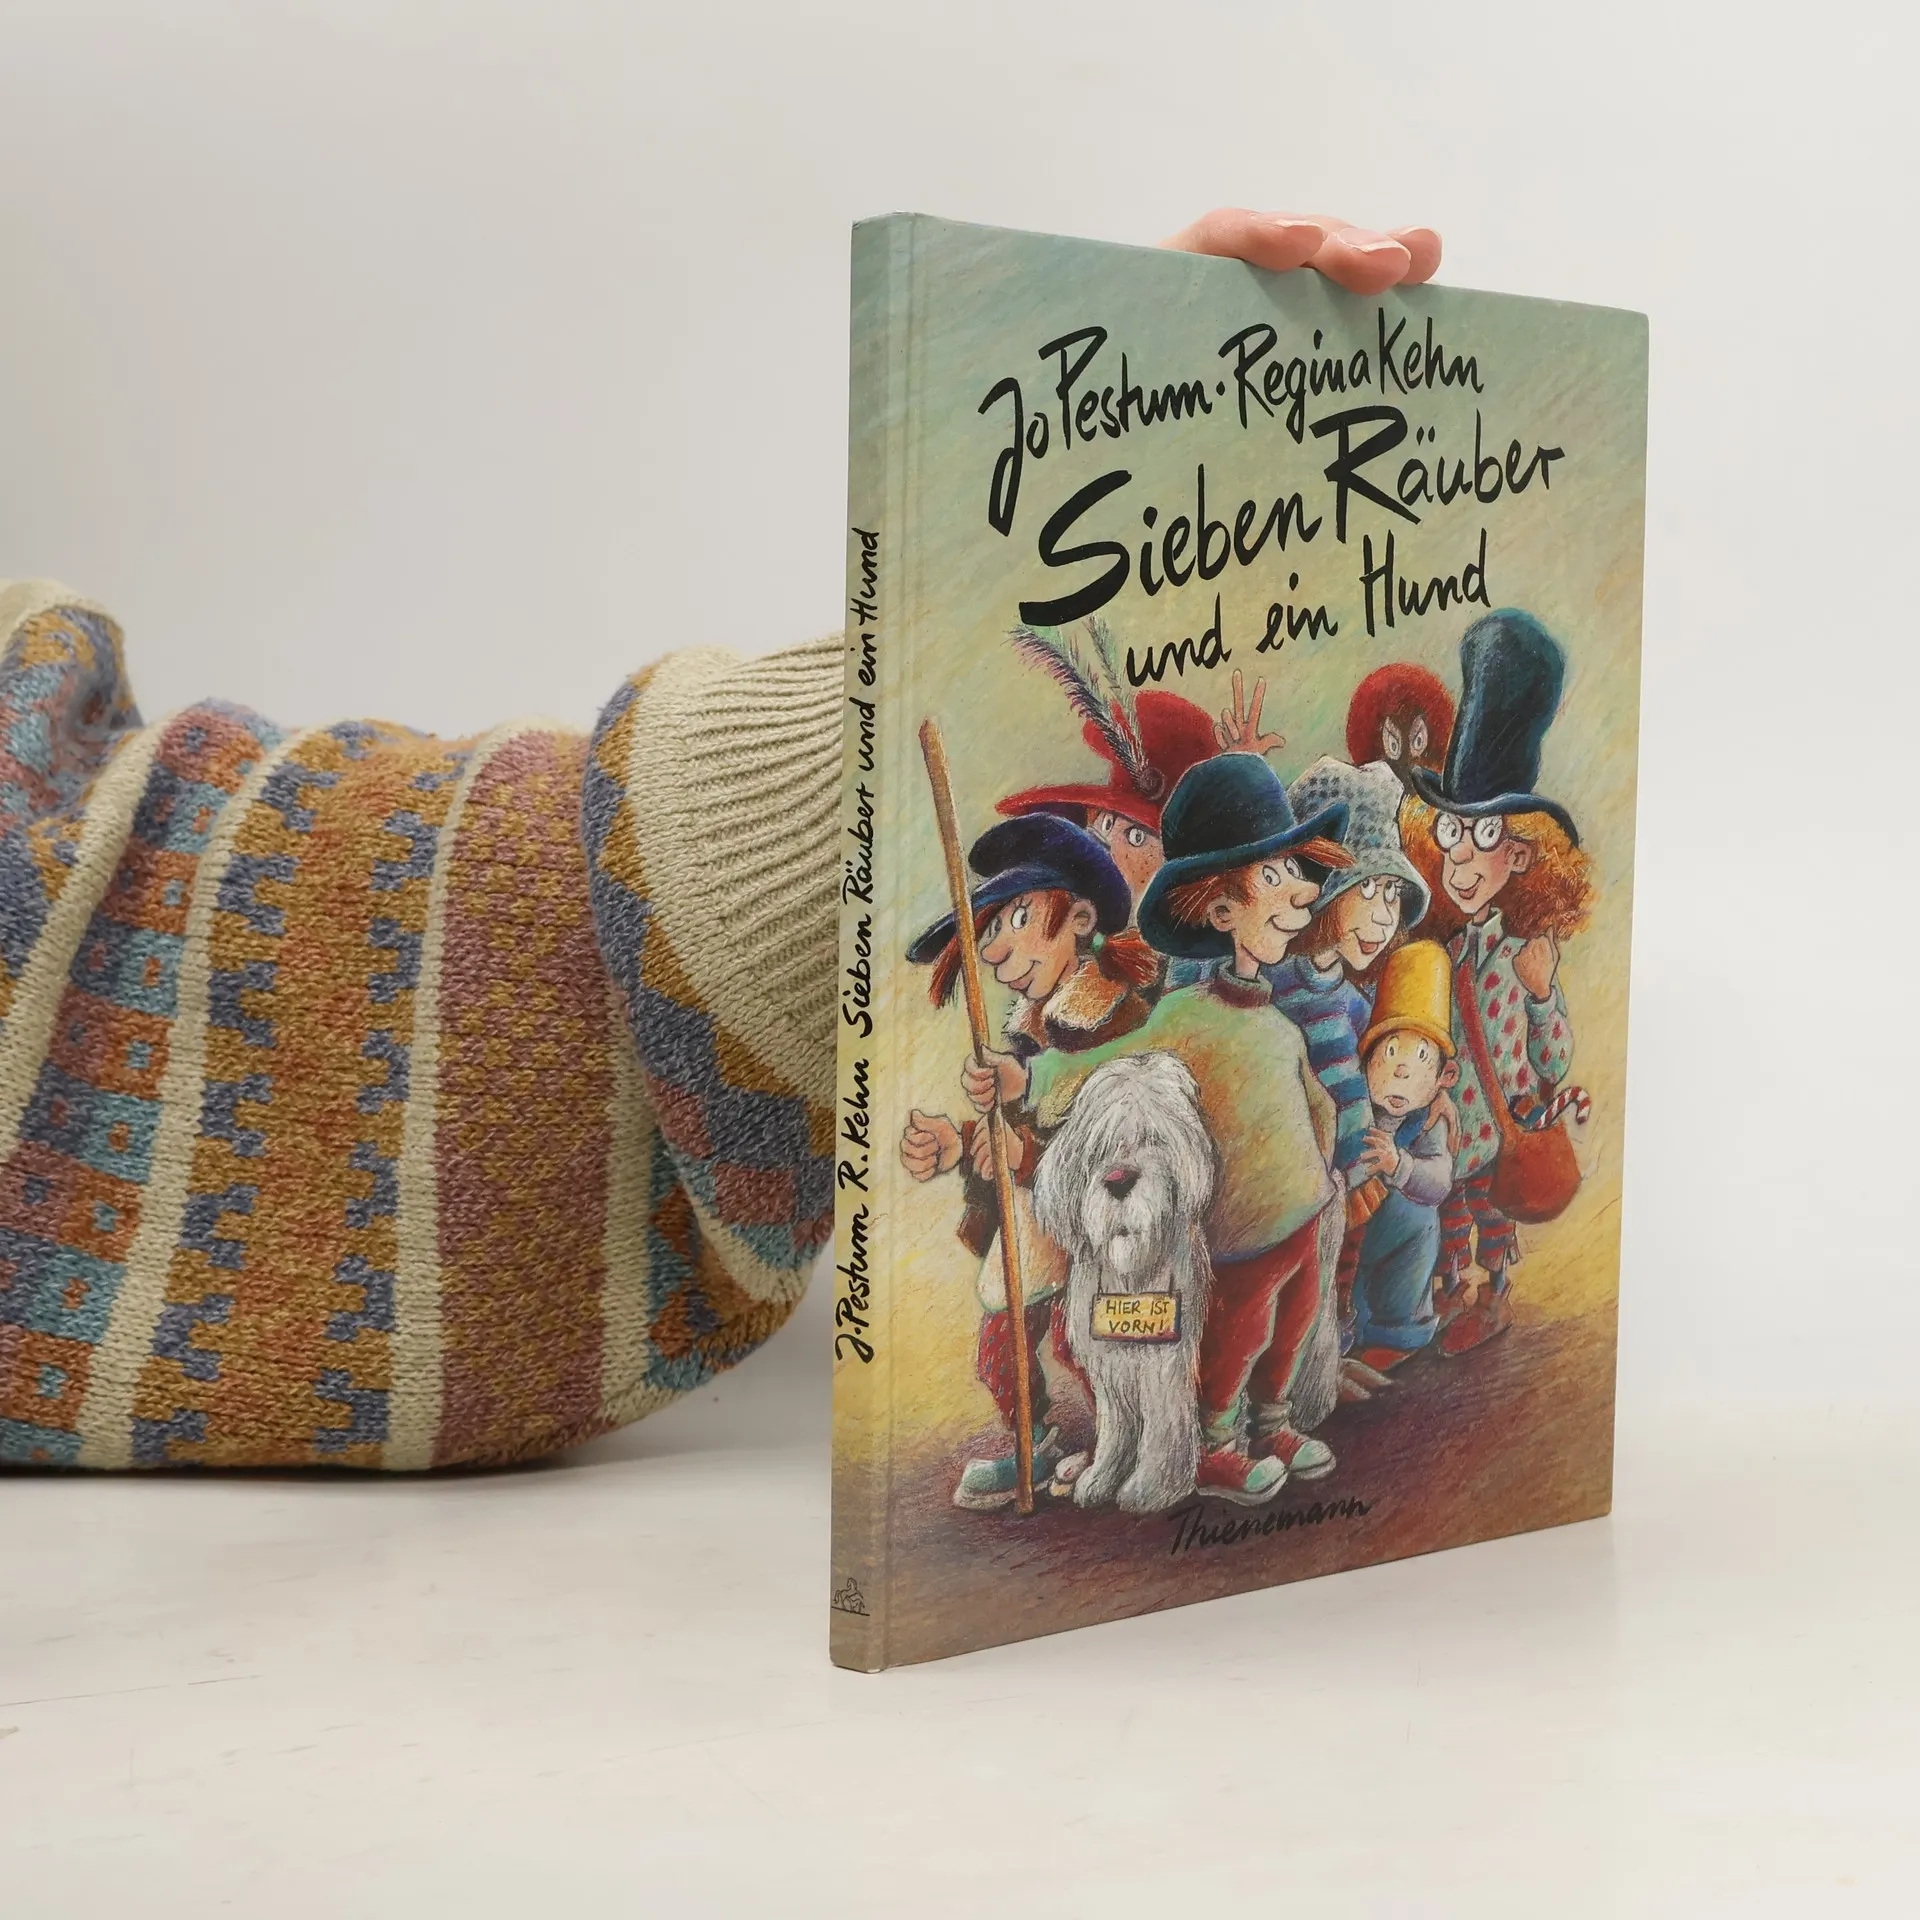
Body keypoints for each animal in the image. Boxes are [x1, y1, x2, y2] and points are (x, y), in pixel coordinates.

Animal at [1032, 1051, 1217, 1514]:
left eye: (1153, 1138)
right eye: (1097, 1149)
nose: (1118, 1181)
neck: (1132, 1276)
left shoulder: (1165, 1366)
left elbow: (1162, 1428)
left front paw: (1152, 1488)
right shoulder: (1109, 1368)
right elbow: (1116, 1428)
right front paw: (1101, 1478)